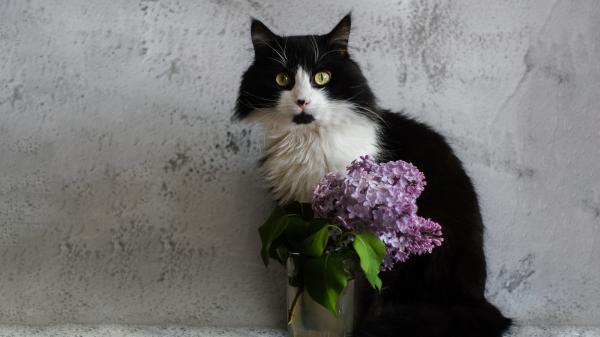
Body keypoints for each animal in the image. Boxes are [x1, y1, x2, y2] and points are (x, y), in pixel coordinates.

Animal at [234, 13, 510, 336]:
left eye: (321, 78)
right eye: (282, 79)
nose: (302, 101)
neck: (308, 141)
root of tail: (474, 299)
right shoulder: (296, 214)